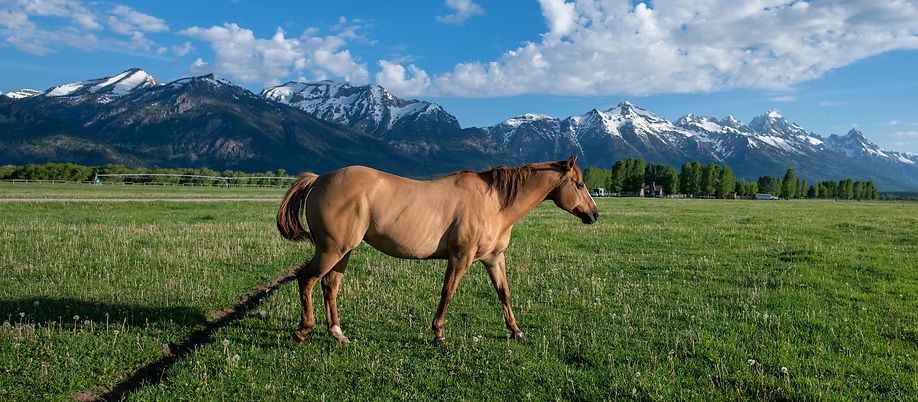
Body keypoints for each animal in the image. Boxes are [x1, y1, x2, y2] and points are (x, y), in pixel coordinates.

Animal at [276, 156, 599, 343]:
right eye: (580, 184)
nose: (594, 215)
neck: (493, 202)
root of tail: (320, 178)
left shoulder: (494, 259)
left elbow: (503, 293)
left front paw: (516, 330)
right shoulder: (461, 258)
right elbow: (448, 292)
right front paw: (439, 333)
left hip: (343, 253)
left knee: (330, 286)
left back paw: (337, 333)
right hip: (331, 250)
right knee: (306, 280)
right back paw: (304, 329)